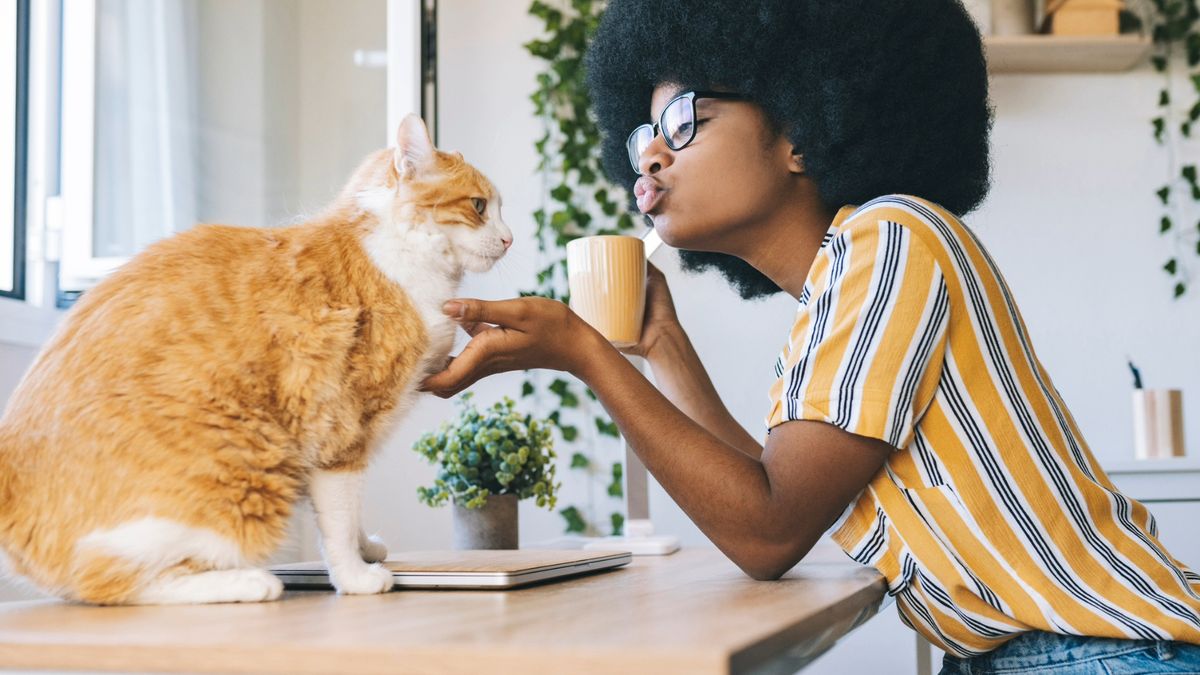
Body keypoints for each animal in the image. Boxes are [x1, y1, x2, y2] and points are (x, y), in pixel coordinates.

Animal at [0, 112, 511, 600]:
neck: (403, 258)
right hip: (249, 465)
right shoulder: (339, 426)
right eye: (479, 206)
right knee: (108, 579)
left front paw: (366, 548)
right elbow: (339, 517)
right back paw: (249, 583)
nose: (510, 239)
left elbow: (349, 513)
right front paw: (355, 576)